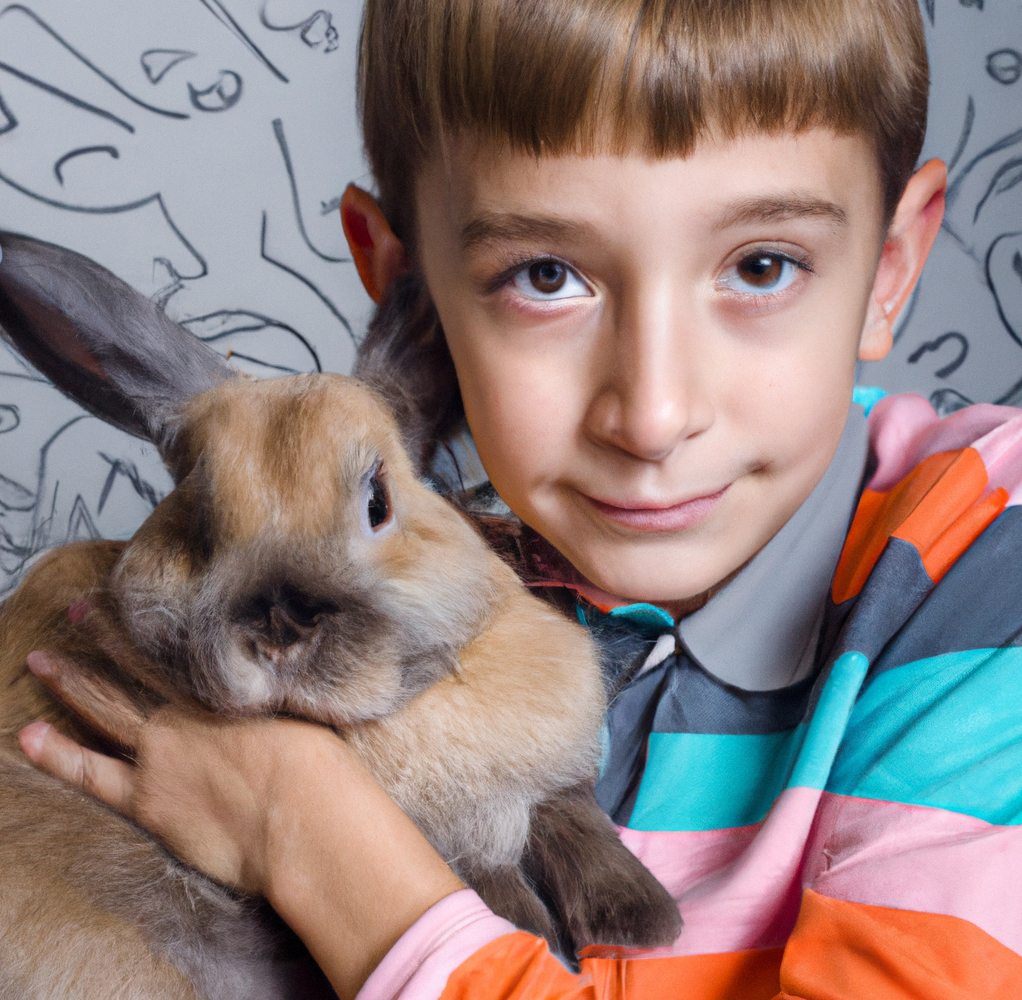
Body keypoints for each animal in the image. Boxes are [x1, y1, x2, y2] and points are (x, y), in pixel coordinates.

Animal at [0, 228, 682, 997]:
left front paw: (641, 922)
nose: (279, 624)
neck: (417, 704)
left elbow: (573, 815)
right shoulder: (459, 849)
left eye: (378, 501)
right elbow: (495, 888)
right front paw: (544, 936)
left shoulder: (548, 773)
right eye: (197, 523)